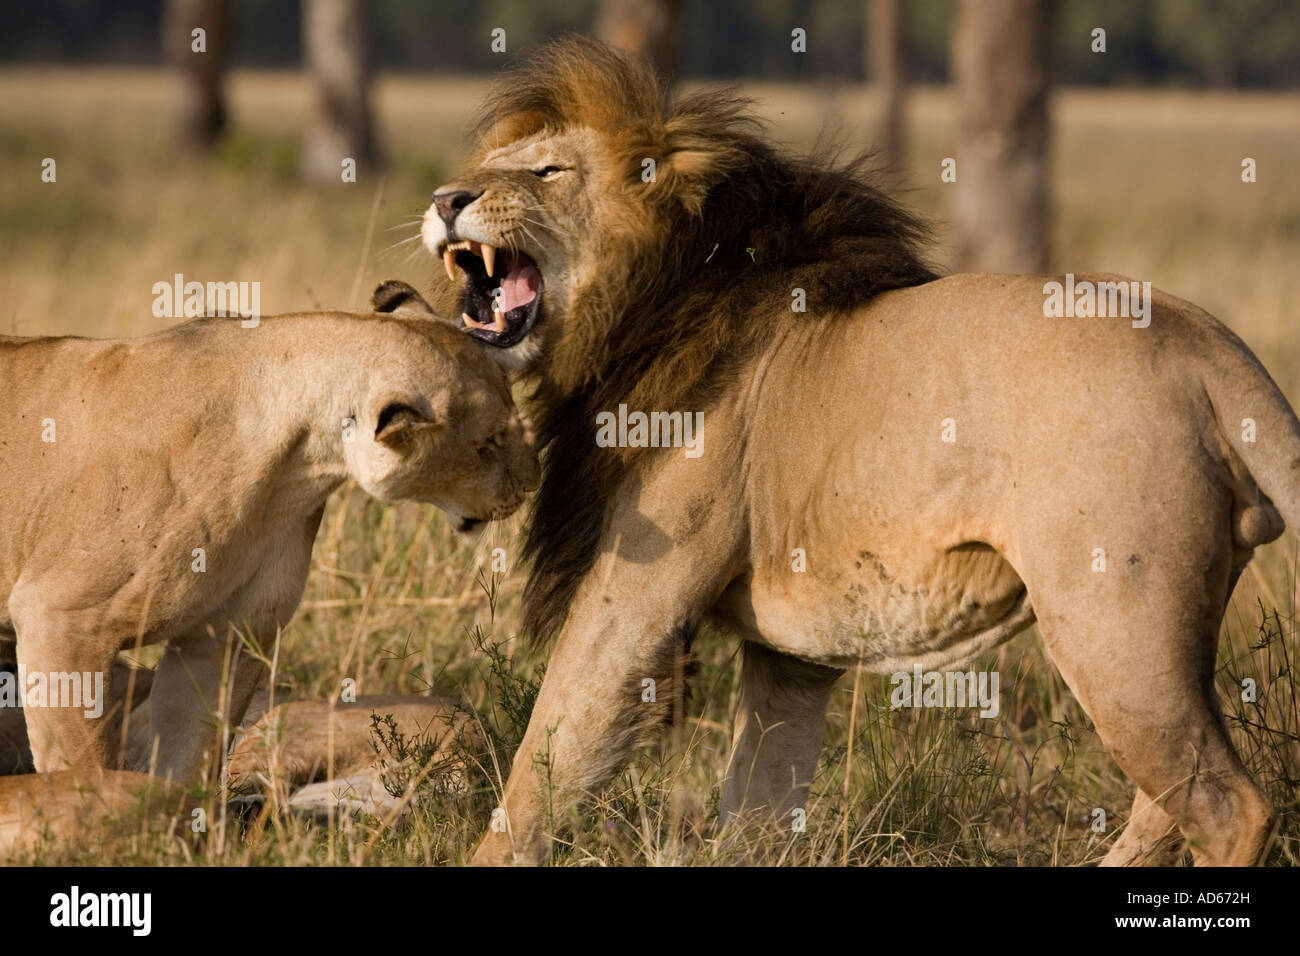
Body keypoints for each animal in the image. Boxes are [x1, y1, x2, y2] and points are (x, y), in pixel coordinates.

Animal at [0, 304, 538, 788]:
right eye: (489, 441)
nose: (531, 483)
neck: (293, 468)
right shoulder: (62, 621)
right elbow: (84, 769)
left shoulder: (226, 635)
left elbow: (188, 764)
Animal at [415, 37, 1300, 867]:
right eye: (485, 171)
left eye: (548, 171)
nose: (445, 199)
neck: (645, 307)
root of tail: (1212, 349)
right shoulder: (788, 656)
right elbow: (760, 799)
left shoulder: (636, 597)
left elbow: (549, 753)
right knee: (1169, 802)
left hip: (1113, 621)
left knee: (1230, 806)